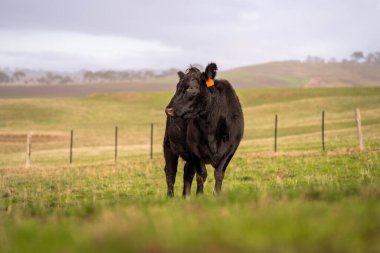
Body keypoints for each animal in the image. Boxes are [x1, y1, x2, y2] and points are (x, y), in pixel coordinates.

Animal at [163, 62, 243, 197]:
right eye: (177, 87)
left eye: (190, 88)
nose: (168, 109)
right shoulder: (195, 149)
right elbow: (202, 175)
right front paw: (200, 196)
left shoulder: (231, 148)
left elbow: (219, 174)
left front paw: (217, 195)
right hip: (169, 145)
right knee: (170, 173)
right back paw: (170, 197)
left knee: (187, 173)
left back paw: (186, 197)